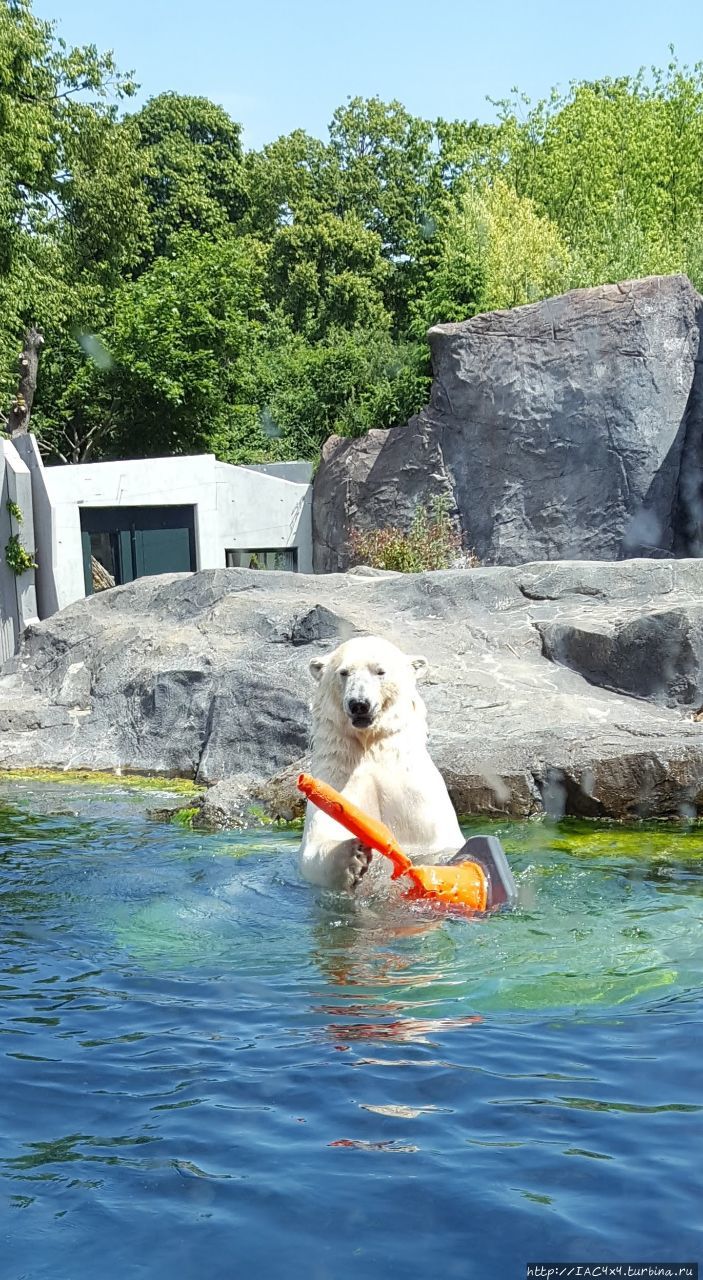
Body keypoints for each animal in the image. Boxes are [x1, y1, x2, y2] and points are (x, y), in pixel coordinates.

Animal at [297, 637, 466, 890]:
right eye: (344, 672)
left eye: (380, 671)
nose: (359, 704)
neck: (371, 748)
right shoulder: (335, 782)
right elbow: (318, 844)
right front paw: (353, 855)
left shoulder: (417, 797)